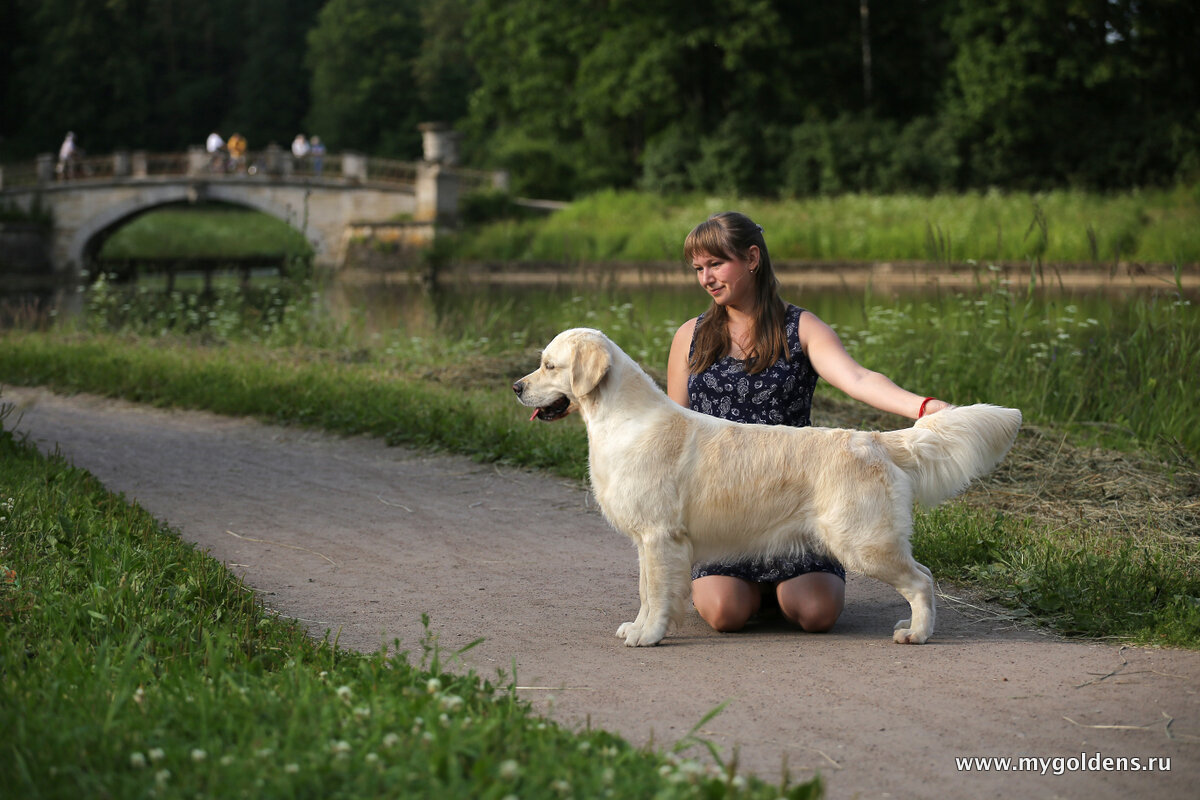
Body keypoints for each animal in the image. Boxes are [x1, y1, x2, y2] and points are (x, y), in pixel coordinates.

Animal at [513, 328, 1022, 647]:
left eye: (550, 365)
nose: (516, 387)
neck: (621, 418)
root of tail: (875, 439)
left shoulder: (660, 536)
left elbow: (656, 594)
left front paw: (649, 635)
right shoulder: (648, 539)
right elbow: (645, 591)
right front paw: (637, 627)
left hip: (863, 542)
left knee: (922, 579)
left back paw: (916, 633)